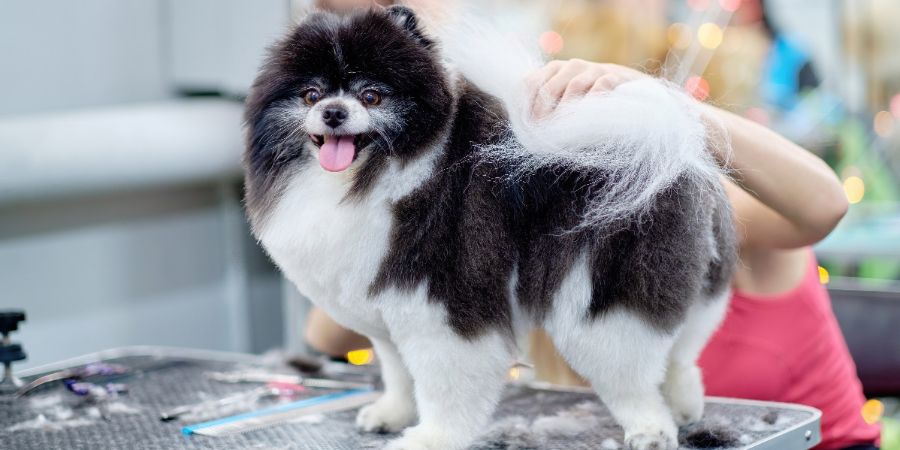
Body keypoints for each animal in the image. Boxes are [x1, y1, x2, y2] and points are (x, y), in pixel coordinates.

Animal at [243, 6, 736, 450]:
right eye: (310, 95)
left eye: (371, 97)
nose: (333, 112)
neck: (371, 177)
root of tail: (665, 141)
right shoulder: (387, 313)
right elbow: (398, 373)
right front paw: (392, 414)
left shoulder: (443, 305)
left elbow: (445, 386)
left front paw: (432, 438)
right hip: (693, 282)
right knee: (681, 350)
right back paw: (683, 403)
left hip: (604, 296)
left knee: (630, 372)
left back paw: (651, 428)